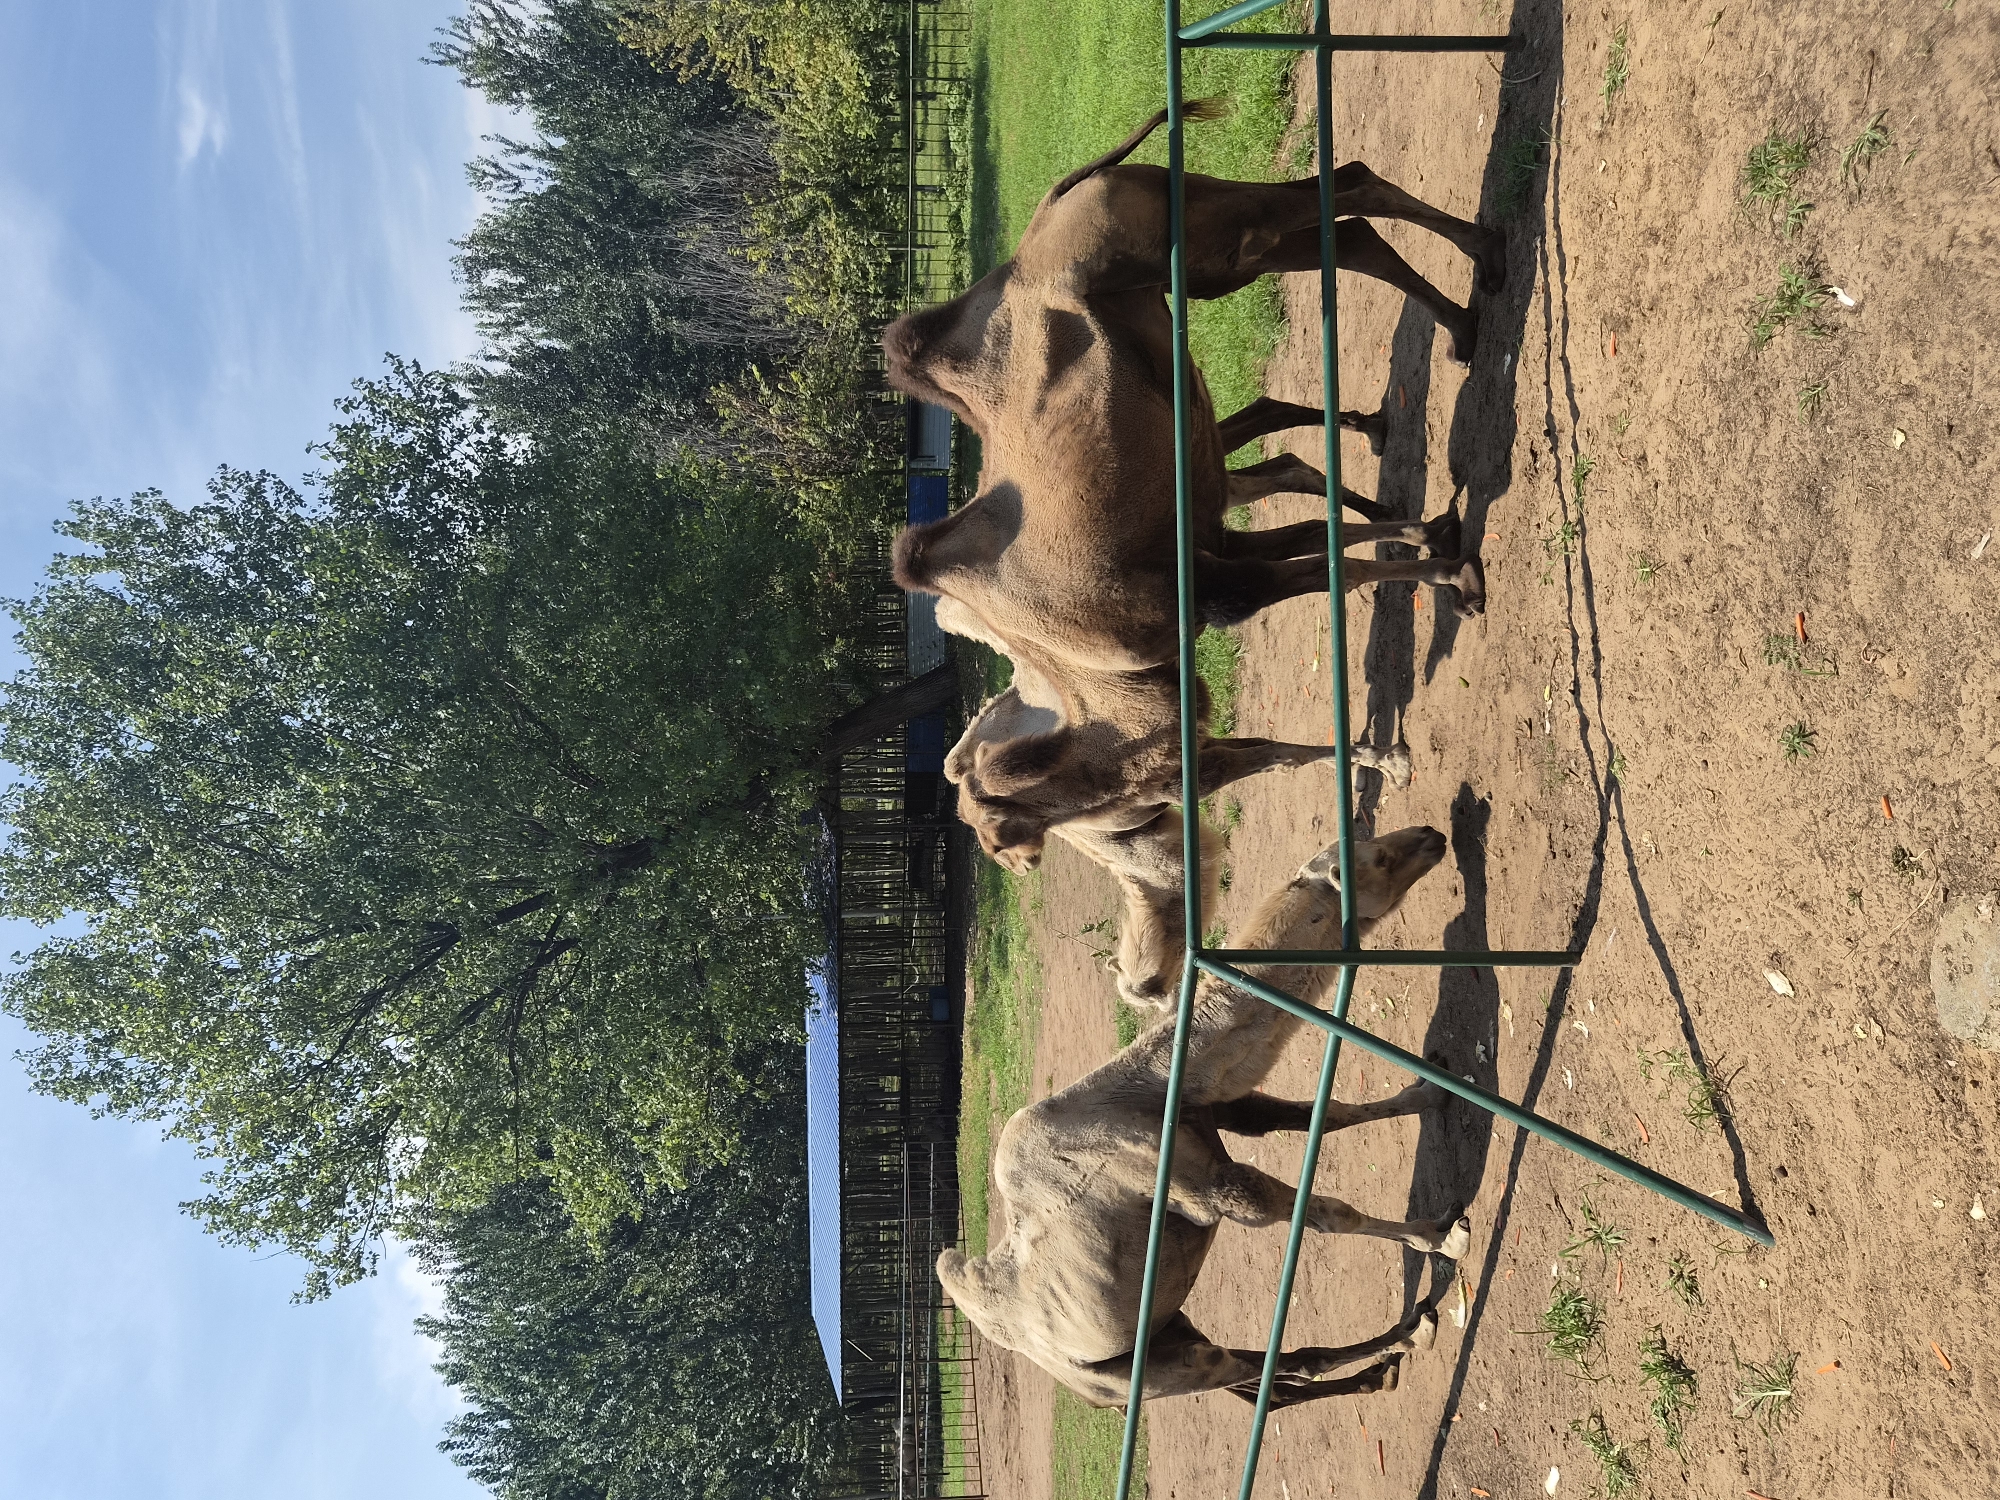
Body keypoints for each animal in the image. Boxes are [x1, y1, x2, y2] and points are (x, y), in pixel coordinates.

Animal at [885, 101, 1501, 680]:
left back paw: (1479, 266)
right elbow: (1314, 529)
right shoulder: (1209, 543)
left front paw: (1457, 570)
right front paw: (1434, 535)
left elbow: (1331, 563)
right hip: (1212, 254)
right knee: (1347, 228)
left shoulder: (1205, 583)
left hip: (1206, 236)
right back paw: (1463, 316)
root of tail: (1066, 194)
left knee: (1348, 189)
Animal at [938, 825, 1472, 1408]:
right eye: (1376, 858)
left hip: (1159, 1331)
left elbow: (1322, 1115)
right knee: (1239, 1367)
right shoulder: (1209, 1189)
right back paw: (1407, 1337)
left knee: (1270, 1378)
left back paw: (1388, 1359)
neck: (1149, 1090)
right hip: (1129, 1373)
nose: (1432, 834)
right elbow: (1329, 1213)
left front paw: (1432, 1092)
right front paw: (1442, 1235)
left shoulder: (1218, 1108)